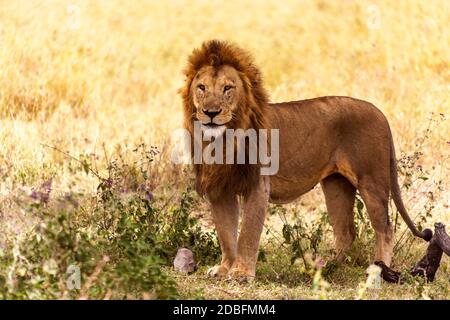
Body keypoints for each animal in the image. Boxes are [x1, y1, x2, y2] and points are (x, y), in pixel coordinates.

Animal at [180, 39, 432, 280]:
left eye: (227, 88)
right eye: (201, 88)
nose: (211, 112)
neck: (224, 139)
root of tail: (380, 112)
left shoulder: (257, 186)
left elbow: (247, 234)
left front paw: (242, 274)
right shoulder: (219, 189)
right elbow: (225, 233)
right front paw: (224, 269)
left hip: (371, 180)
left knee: (385, 229)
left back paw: (379, 270)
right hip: (336, 185)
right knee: (346, 232)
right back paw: (329, 268)